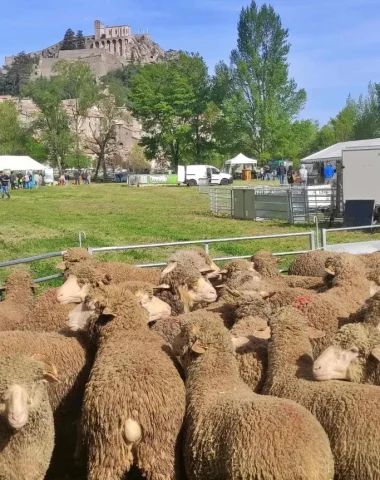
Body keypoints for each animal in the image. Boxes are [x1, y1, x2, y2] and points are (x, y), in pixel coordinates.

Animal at [69, 284, 188, 480]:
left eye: (88, 304)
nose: (67, 318)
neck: (129, 332)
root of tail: (132, 414)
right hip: (152, 449)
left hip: (110, 451)